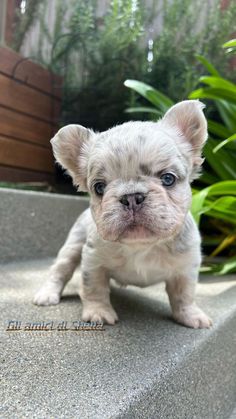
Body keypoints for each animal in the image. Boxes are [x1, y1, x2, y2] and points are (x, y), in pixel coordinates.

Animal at [33, 100, 212, 330]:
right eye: (99, 187)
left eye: (168, 179)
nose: (131, 197)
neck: (142, 245)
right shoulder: (93, 261)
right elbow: (94, 287)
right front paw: (98, 312)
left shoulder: (186, 267)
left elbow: (184, 294)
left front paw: (190, 315)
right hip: (72, 247)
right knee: (59, 270)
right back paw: (47, 294)